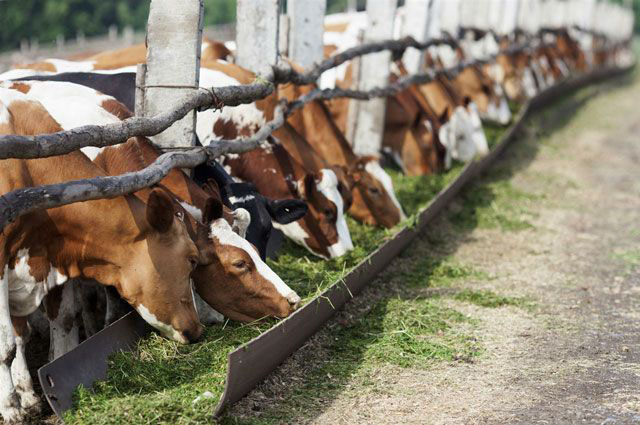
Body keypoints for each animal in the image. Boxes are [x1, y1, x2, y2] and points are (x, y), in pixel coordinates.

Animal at [0, 88, 202, 422]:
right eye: (192, 259)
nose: (197, 330)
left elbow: (59, 322)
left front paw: (46, 386)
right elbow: (6, 343)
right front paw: (11, 406)